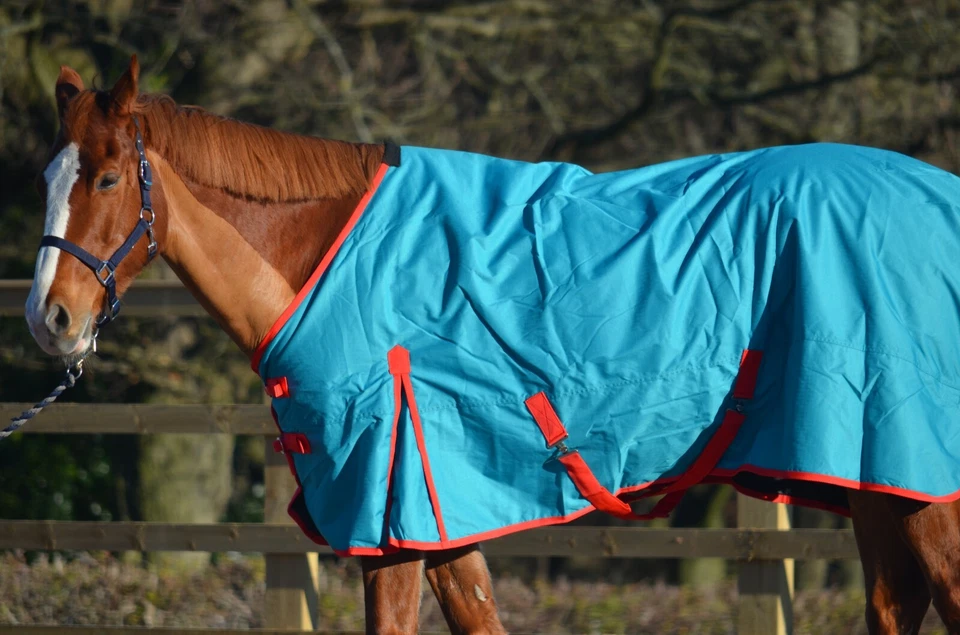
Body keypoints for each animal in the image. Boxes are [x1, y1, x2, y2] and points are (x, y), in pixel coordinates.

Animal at [24, 55, 960, 635]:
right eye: (47, 178)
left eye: (107, 176)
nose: (48, 318)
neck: (335, 260)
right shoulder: (439, 523)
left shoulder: (392, 517)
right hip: (877, 484)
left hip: (922, 485)